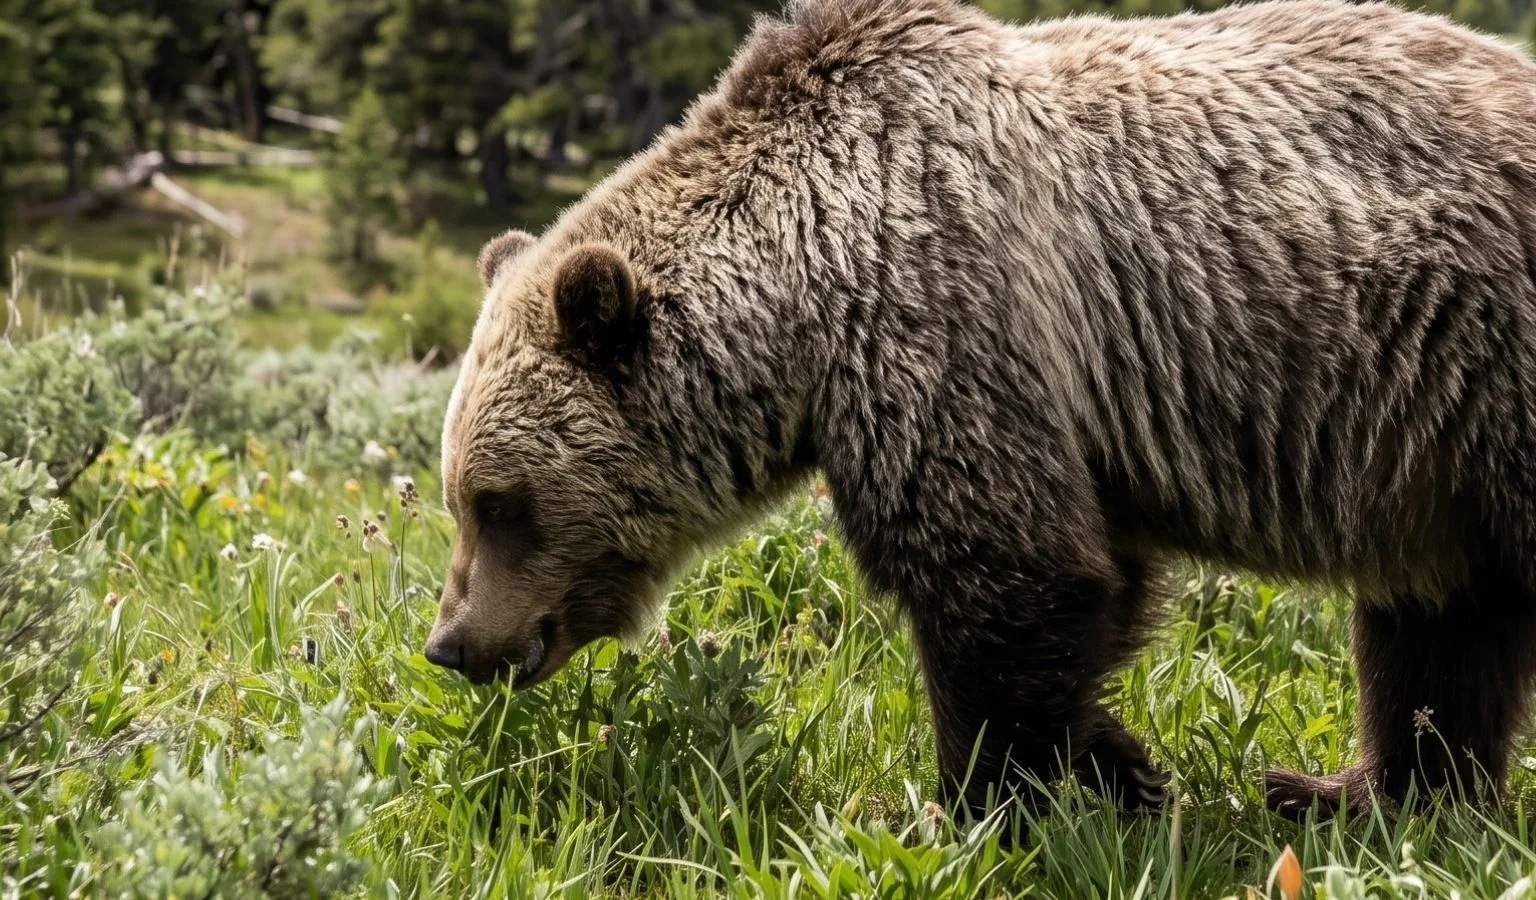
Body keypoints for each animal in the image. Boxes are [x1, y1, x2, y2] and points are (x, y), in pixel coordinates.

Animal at [425, 0, 1536, 819]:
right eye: (460, 497)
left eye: (500, 501)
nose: (453, 644)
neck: (797, 298)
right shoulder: (1057, 408)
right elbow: (1095, 583)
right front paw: (1123, 770)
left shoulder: (937, 303)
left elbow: (1006, 573)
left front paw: (965, 804)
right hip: (1426, 434)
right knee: (1439, 619)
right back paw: (1356, 792)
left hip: (1486, 357)